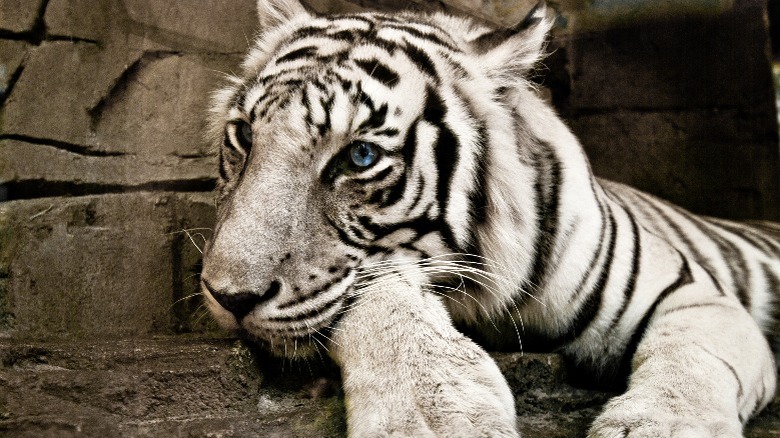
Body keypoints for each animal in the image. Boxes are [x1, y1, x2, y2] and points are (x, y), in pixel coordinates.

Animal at [201, 1, 780, 436]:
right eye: (244, 136)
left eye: (359, 156)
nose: (229, 298)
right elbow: (381, 297)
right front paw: (437, 413)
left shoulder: (696, 295)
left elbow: (693, 361)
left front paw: (660, 427)